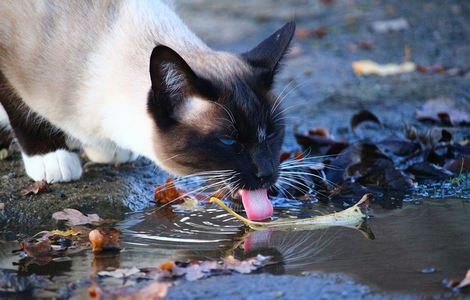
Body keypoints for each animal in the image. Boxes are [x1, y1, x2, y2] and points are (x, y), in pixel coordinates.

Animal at [0, 0, 294, 220]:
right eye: (228, 141)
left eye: (272, 133)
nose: (267, 174)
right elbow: (20, 108)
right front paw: (50, 158)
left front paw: (105, 149)